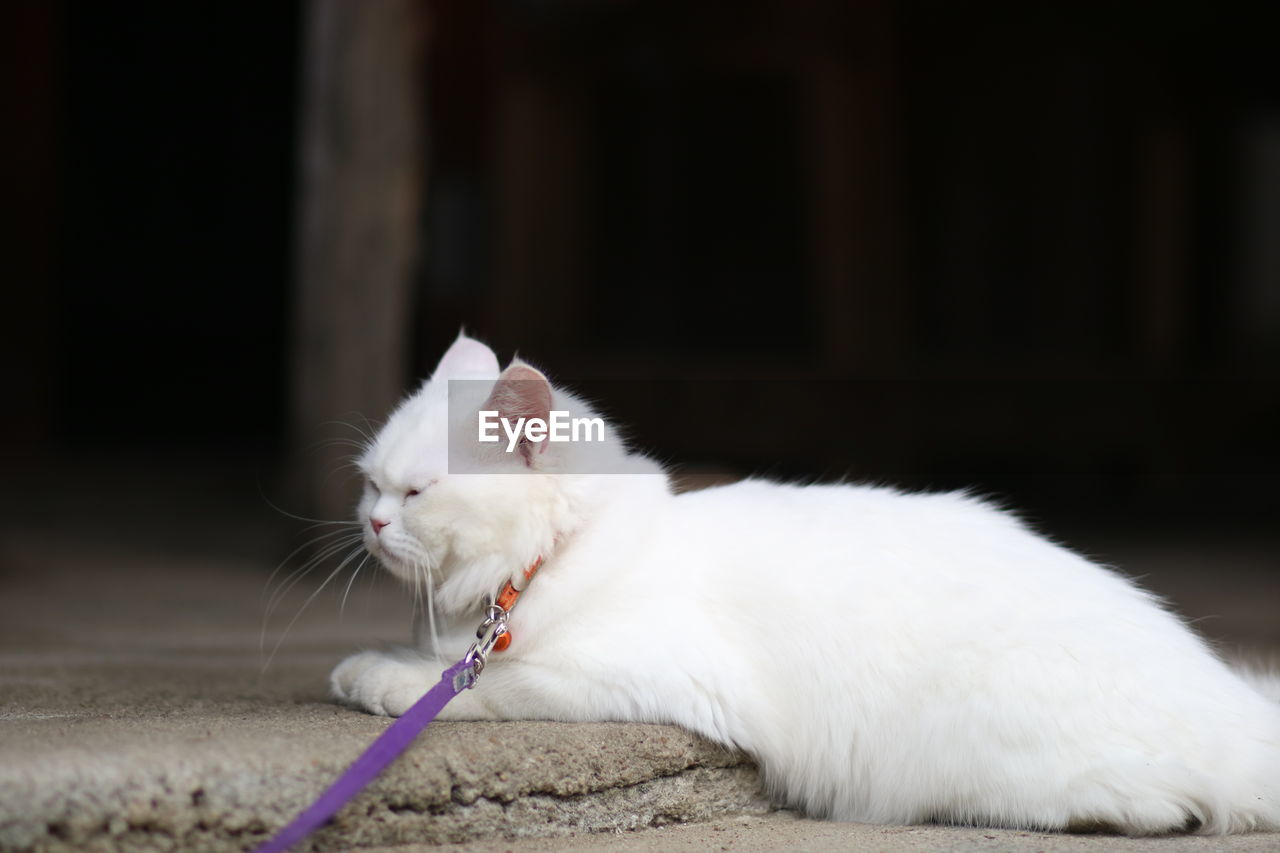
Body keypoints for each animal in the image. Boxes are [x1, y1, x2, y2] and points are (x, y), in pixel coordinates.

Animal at [332, 330, 1280, 829]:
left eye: (414, 493)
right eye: (370, 483)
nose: (370, 522)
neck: (552, 557)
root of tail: (1237, 707)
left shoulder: (615, 675)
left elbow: (477, 684)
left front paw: (383, 676)